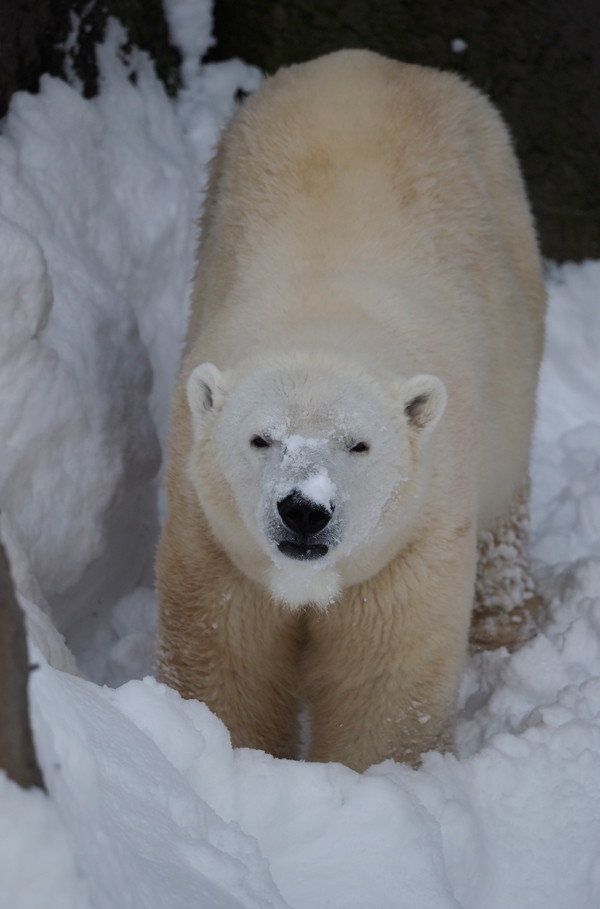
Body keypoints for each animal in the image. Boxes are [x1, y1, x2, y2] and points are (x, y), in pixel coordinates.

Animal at [155, 49, 544, 768]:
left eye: (358, 443)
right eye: (260, 438)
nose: (304, 510)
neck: (322, 313)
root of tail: (369, 60)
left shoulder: (415, 532)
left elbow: (385, 683)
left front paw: (378, 775)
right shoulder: (211, 533)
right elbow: (223, 661)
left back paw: (508, 618)